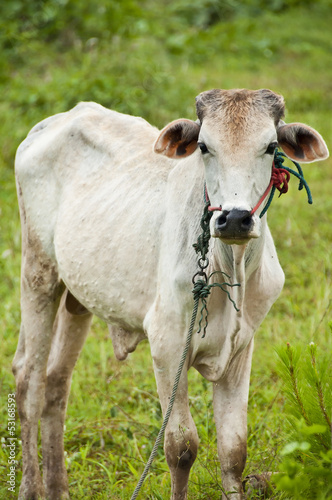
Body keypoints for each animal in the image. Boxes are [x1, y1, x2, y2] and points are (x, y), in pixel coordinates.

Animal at [13, 88, 330, 498]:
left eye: (271, 145)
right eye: (204, 146)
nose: (235, 219)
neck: (231, 264)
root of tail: (57, 120)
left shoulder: (241, 349)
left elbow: (234, 451)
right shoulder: (166, 345)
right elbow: (181, 447)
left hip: (76, 298)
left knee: (56, 382)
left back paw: (58, 488)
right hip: (38, 274)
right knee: (29, 381)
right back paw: (30, 487)